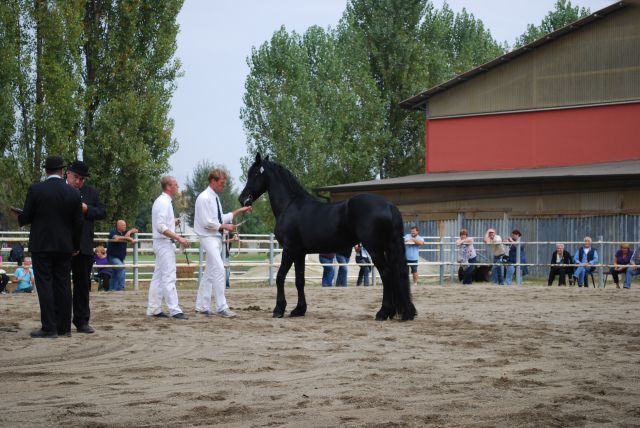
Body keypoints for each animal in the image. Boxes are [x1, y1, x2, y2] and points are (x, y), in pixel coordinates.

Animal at [239, 154, 416, 320]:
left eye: (254, 173)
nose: (242, 199)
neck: (290, 205)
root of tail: (389, 205)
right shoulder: (300, 253)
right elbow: (299, 280)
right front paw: (299, 310)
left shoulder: (289, 250)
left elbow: (280, 277)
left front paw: (279, 309)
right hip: (388, 248)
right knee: (397, 273)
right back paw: (401, 312)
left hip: (375, 249)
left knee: (386, 274)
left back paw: (383, 312)